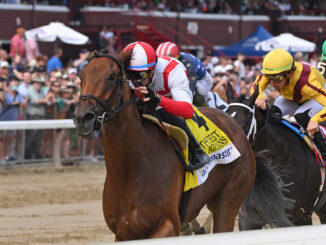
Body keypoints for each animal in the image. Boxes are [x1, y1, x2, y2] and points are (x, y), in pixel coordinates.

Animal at [72, 50, 284, 240]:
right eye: (81, 76)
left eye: (111, 76)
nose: (82, 117)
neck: (131, 169)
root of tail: (239, 130)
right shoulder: (123, 233)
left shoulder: (167, 224)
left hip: (229, 201)